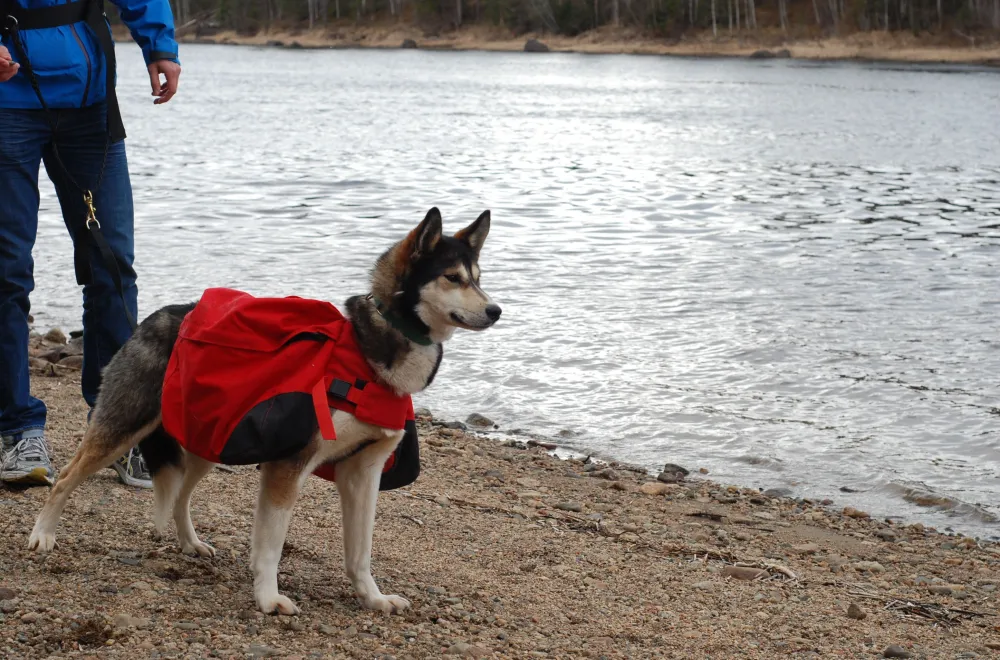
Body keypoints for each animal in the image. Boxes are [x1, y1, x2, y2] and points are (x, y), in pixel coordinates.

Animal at [26, 209, 500, 616]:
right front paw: (269, 599)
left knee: (180, 495)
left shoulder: (363, 473)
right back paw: (42, 535)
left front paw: (373, 598)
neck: (370, 354)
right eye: (452, 278)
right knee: (66, 478)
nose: (496, 310)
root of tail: (149, 319)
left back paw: (190, 544)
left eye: (478, 279)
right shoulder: (288, 466)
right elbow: (271, 545)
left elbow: (361, 551)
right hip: (122, 429)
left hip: (210, 439)